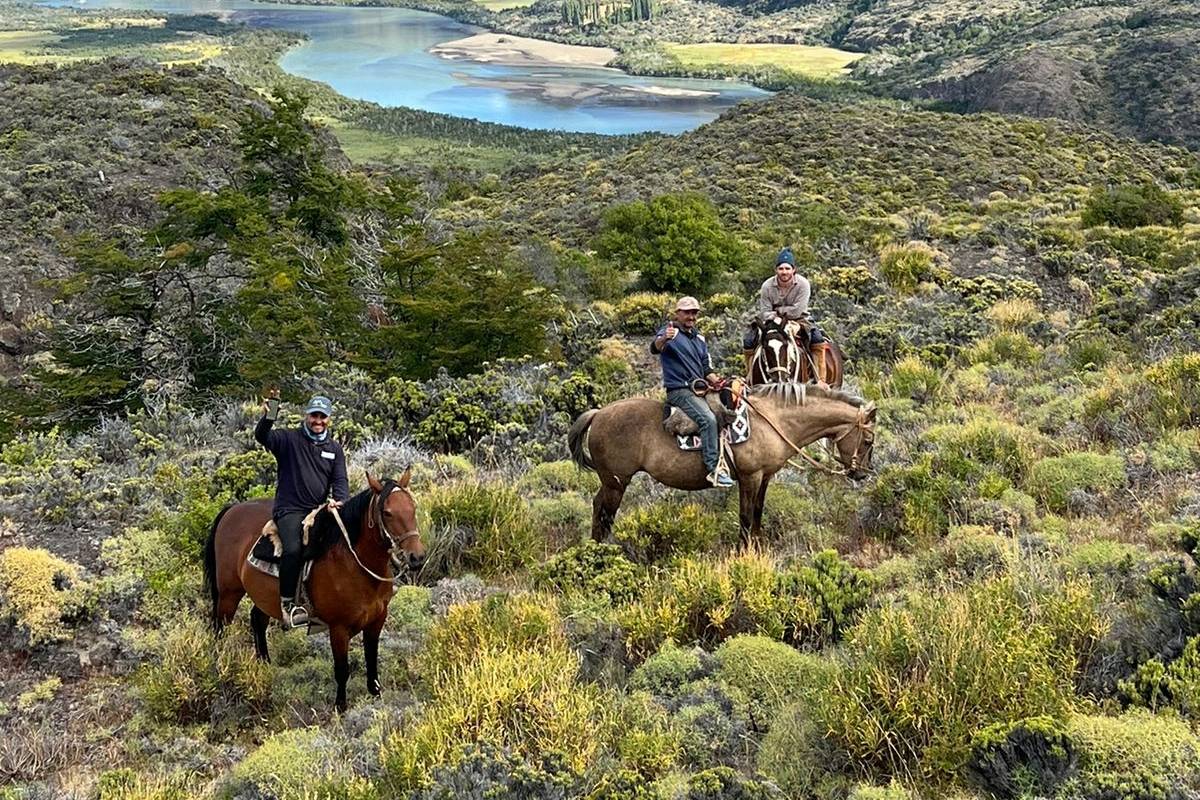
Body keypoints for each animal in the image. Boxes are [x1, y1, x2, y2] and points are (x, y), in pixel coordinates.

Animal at [206, 470, 427, 714]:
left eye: (412, 507)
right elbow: (342, 669)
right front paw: (340, 707)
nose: (417, 557)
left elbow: (372, 659)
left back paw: (265, 667)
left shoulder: (377, 620)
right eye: (387, 513)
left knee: (257, 620)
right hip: (229, 594)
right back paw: (220, 666)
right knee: (220, 630)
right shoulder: (339, 628)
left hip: (263, 596)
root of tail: (231, 509)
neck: (355, 563)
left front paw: (376, 696)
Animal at [566, 383, 878, 544]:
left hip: (611, 481)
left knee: (599, 508)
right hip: (616, 481)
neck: (773, 420)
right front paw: (745, 552)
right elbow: (745, 516)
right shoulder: (750, 476)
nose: (862, 474)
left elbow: (758, 514)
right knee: (605, 512)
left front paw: (758, 546)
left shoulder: (764, 477)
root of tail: (598, 414)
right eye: (868, 440)